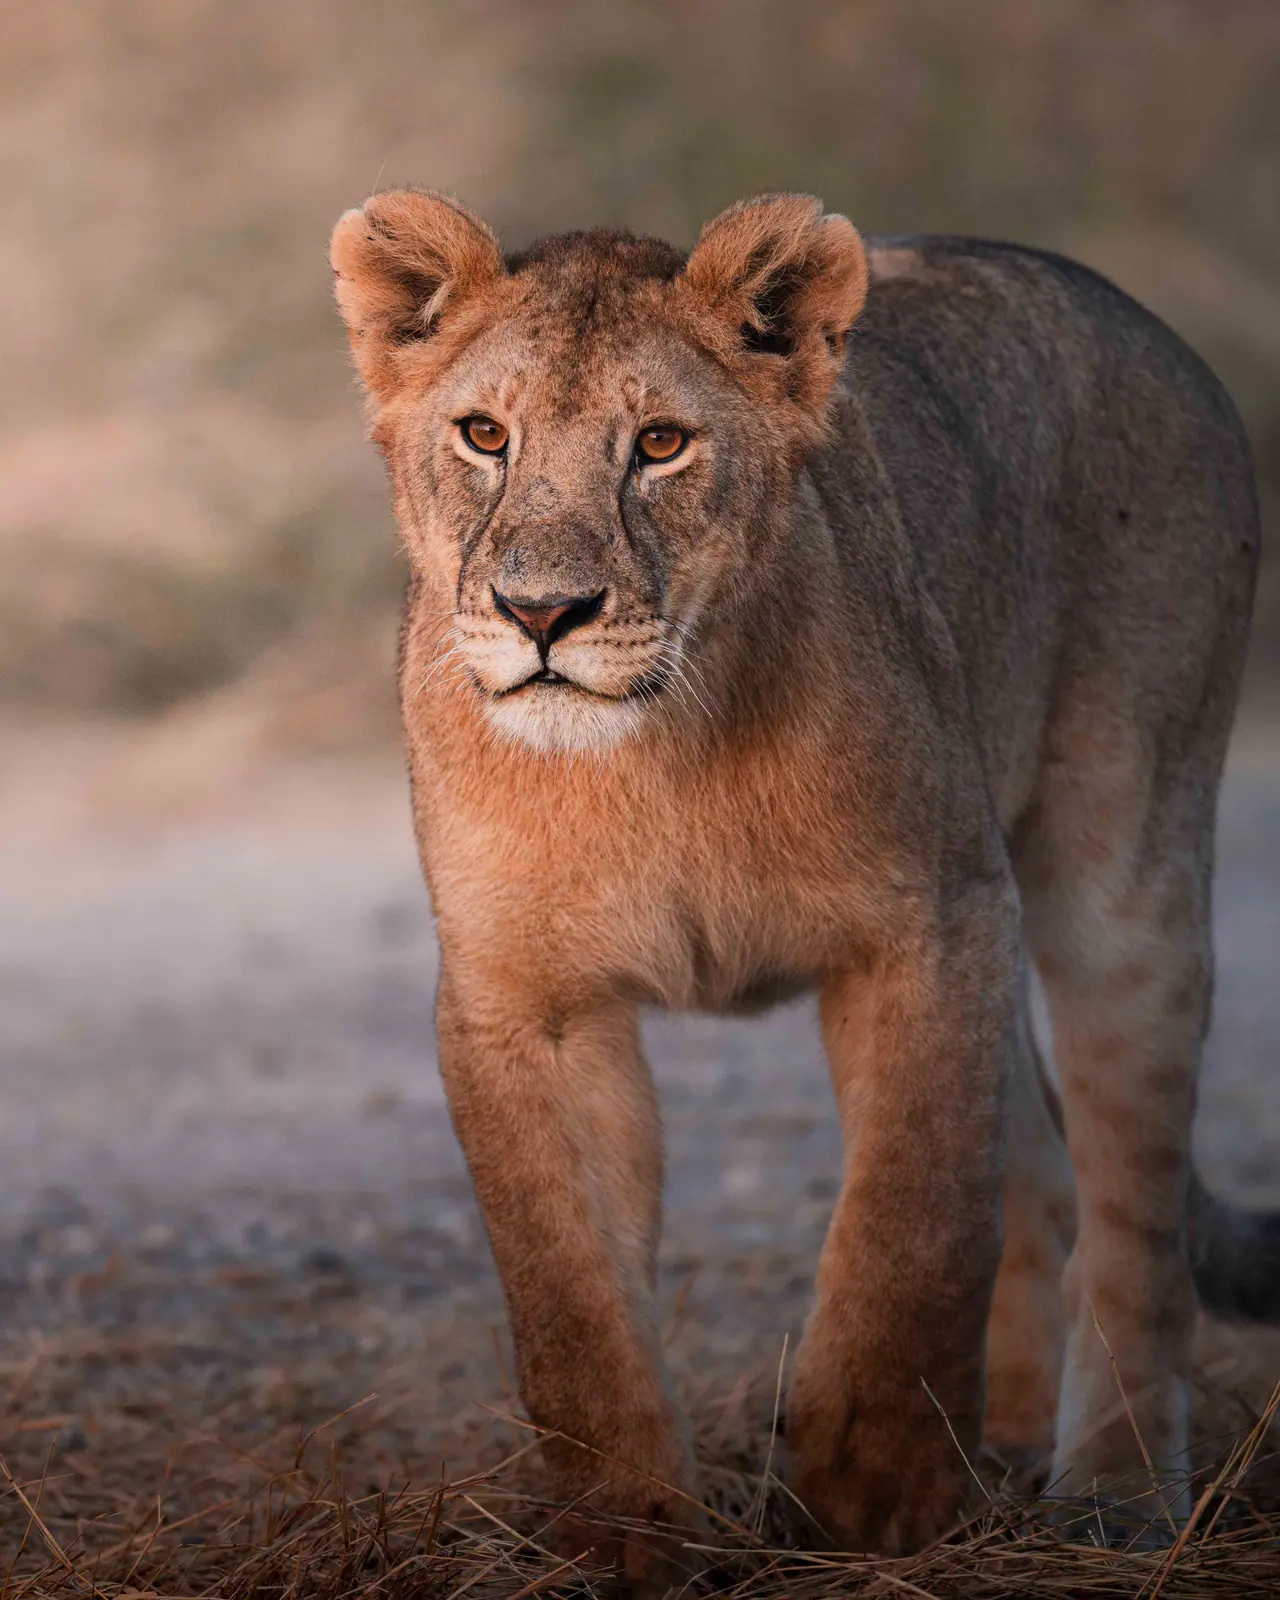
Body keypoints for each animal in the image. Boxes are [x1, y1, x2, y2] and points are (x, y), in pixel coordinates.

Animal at [330, 188, 1274, 1582]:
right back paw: (998, 1445)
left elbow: (909, 1226)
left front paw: (868, 1501)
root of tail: (1140, 321)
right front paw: (627, 1544)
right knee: (1041, 1183)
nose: (543, 612)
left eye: (659, 443)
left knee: (1128, 1217)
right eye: (483, 435)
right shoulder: (523, 1001)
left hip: (1120, 857)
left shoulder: (928, 928)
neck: (653, 758)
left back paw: (1111, 1496)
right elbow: (570, 1305)